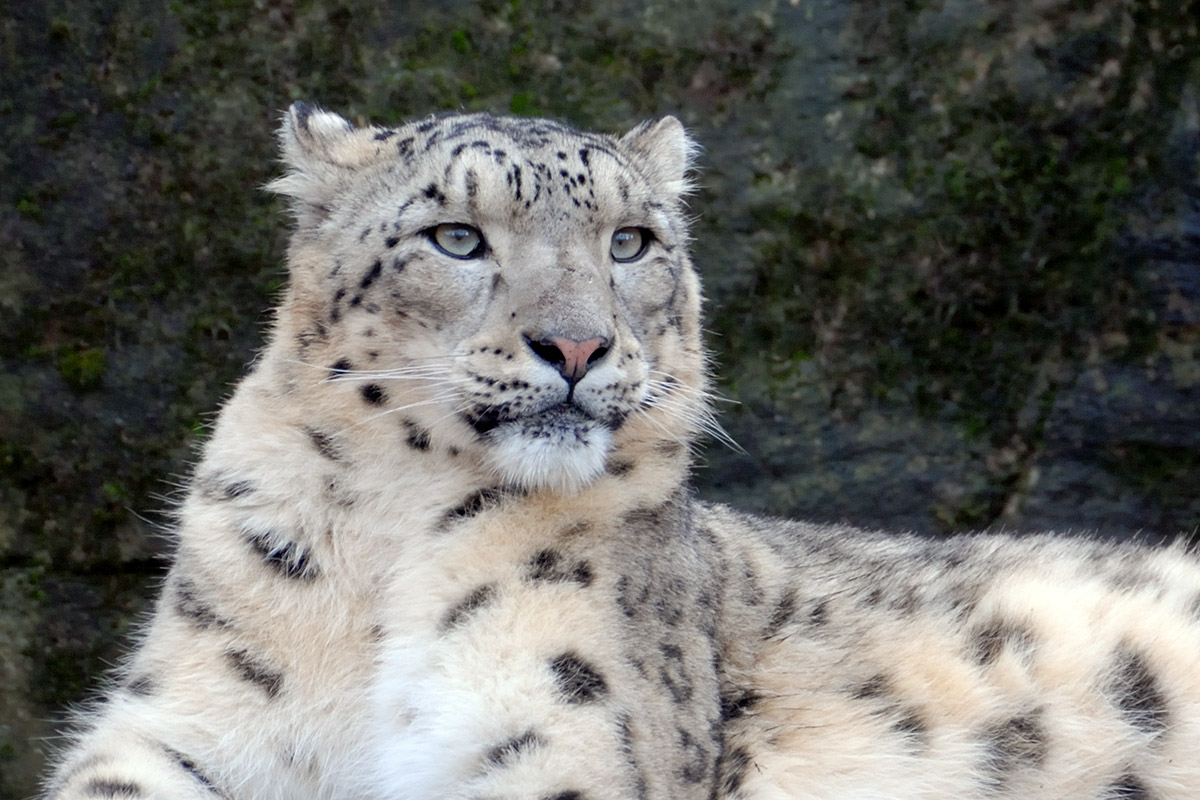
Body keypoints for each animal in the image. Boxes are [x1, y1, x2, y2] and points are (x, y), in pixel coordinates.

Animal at [39, 104, 1200, 800]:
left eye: (631, 242)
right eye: (456, 236)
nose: (577, 345)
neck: (388, 540)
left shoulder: (567, 731)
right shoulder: (187, 717)